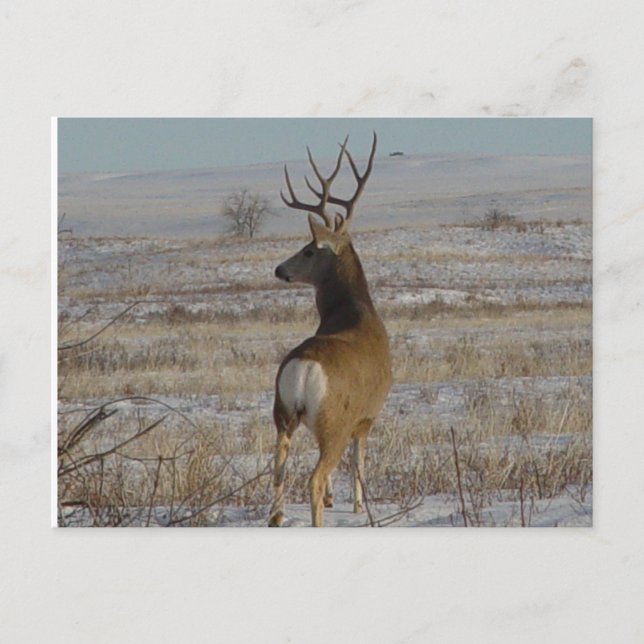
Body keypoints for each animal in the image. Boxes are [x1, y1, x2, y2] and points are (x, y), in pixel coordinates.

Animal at [268, 133, 392, 527]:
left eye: (308, 251)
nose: (279, 269)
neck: (353, 311)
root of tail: (303, 369)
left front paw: (336, 498)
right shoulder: (367, 415)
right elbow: (359, 462)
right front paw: (358, 505)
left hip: (282, 414)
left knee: (278, 468)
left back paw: (276, 517)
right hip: (333, 420)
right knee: (315, 476)